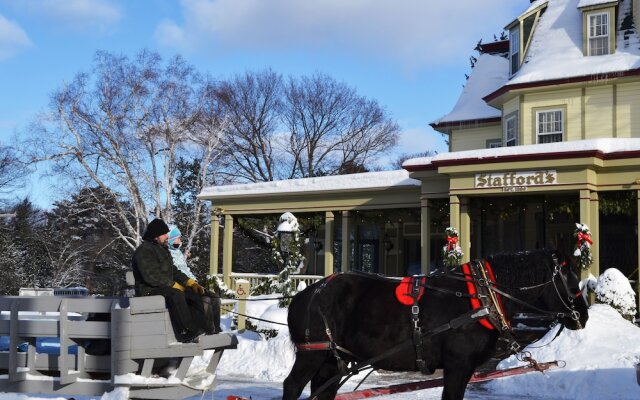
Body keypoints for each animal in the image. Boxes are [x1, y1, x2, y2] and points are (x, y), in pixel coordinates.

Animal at [284, 250, 592, 400]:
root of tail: (307, 294)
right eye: (570, 279)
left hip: (332, 359)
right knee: (293, 386)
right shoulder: (458, 365)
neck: (481, 297)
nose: (583, 315)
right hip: (312, 353)